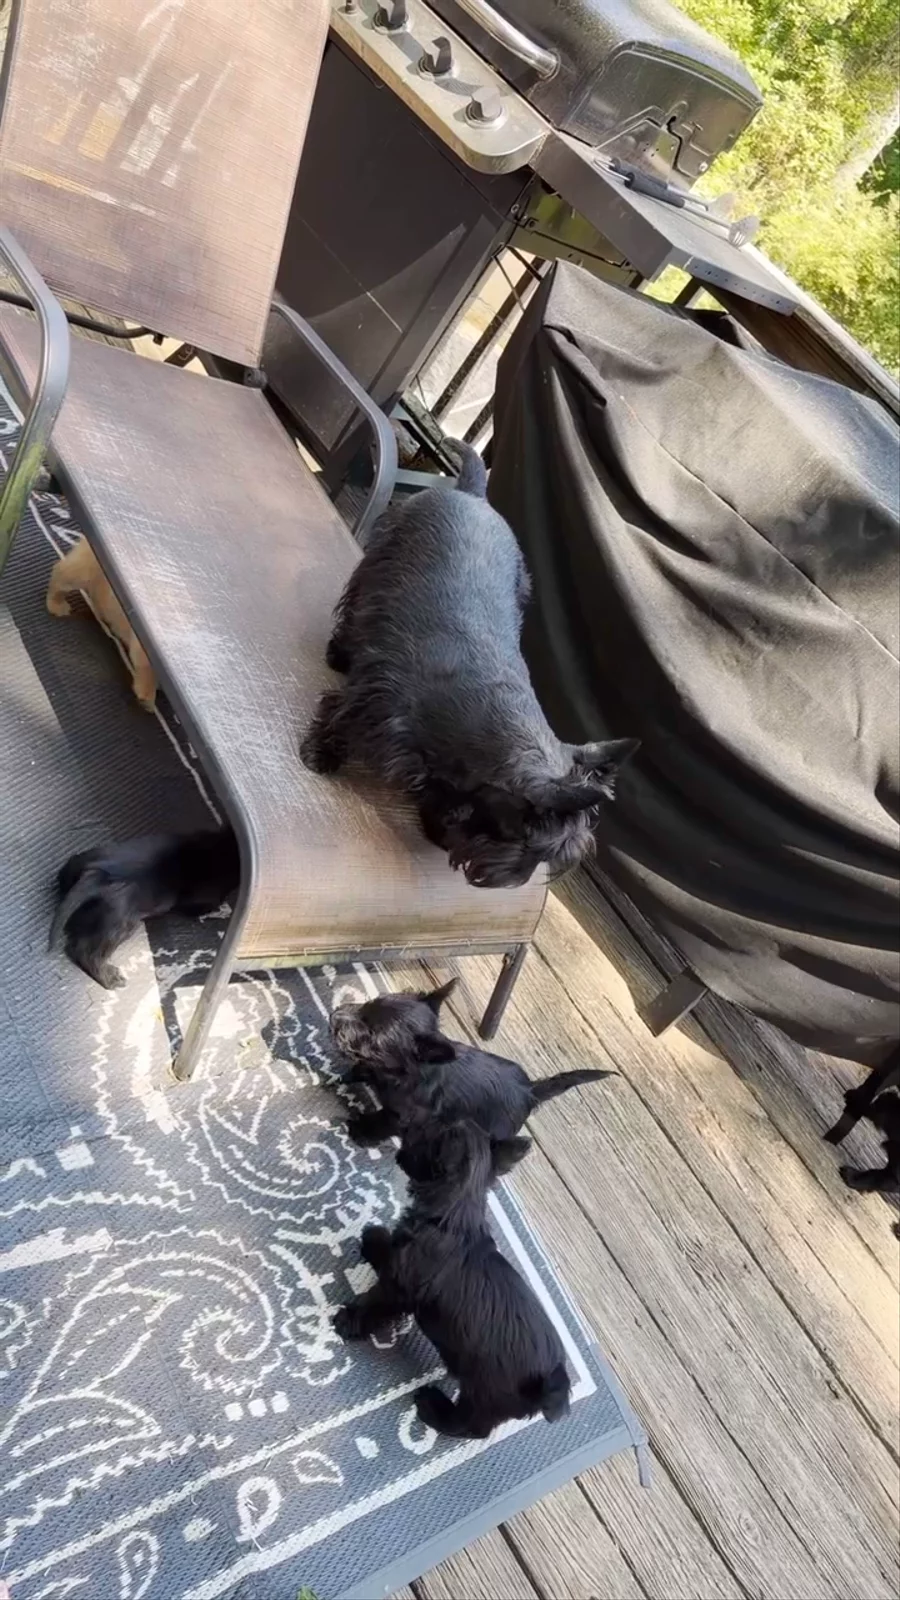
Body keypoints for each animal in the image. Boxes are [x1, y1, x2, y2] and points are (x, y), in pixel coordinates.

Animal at [49, 828, 240, 989]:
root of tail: (97, 875)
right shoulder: (199, 902)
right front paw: (222, 910)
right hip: (121, 925)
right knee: (84, 952)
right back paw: (111, 978)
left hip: (78, 862)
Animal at [301, 443, 638, 887]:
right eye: (529, 840)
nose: (506, 882)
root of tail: (474, 496)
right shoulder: (380, 705)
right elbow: (341, 720)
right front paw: (321, 752)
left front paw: (436, 825)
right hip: (374, 569)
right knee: (353, 608)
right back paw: (339, 653)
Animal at [330, 976, 615, 1147]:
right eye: (369, 1003)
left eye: (373, 1037)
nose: (334, 1016)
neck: (399, 1075)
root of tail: (531, 1090)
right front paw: (349, 1074)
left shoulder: (403, 1115)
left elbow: (382, 1122)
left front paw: (361, 1132)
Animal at [333, 1120, 570, 1438]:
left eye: (428, 1133)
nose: (406, 1133)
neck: (455, 1215)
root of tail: (549, 1384)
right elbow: (389, 1250)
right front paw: (375, 1241)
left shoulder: (398, 1288)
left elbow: (374, 1302)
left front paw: (348, 1320)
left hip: (483, 1395)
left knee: (470, 1426)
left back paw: (432, 1408)